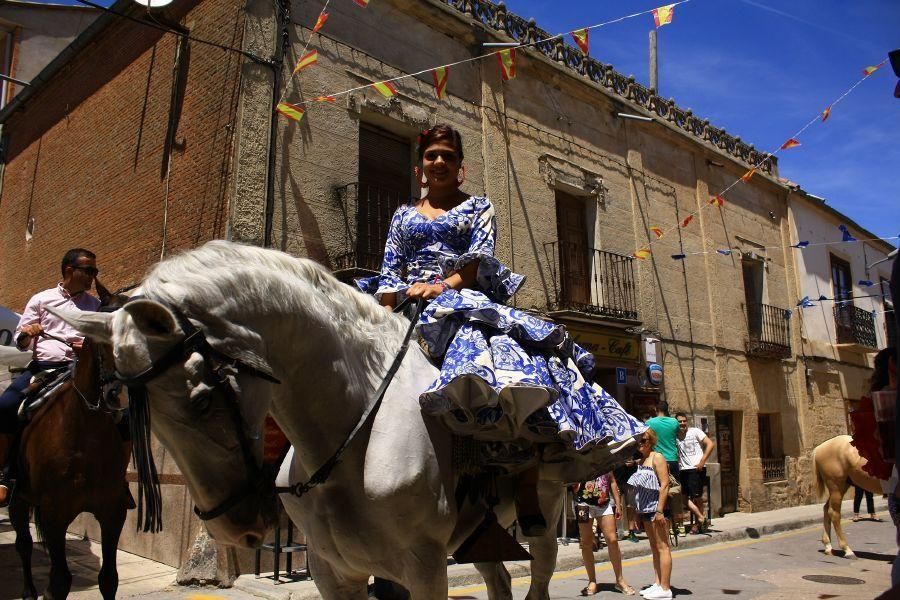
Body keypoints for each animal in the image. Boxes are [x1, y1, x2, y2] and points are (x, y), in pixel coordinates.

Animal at [6, 338, 132, 600]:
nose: (117, 394)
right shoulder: (54, 515)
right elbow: (60, 583)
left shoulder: (113, 513)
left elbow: (109, 579)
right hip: (19, 498)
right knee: (23, 544)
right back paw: (28, 591)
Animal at [52, 240, 636, 600]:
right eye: (128, 414)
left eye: (201, 399)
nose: (235, 529)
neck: (351, 438)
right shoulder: (336, 573)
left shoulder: (425, 570)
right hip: (481, 532)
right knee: (498, 580)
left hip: (548, 512)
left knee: (537, 575)